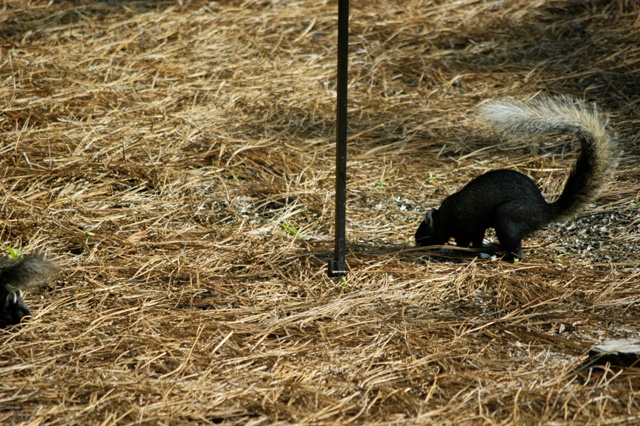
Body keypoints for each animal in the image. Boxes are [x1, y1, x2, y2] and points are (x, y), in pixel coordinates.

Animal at [415, 95, 616, 260]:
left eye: (423, 235)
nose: (416, 246)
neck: (444, 217)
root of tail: (543, 212)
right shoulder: (477, 227)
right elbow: (476, 239)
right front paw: (473, 248)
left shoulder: (466, 223)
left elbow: (463, 240)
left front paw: (452, 249)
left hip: (507, 218)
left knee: (515, 247)